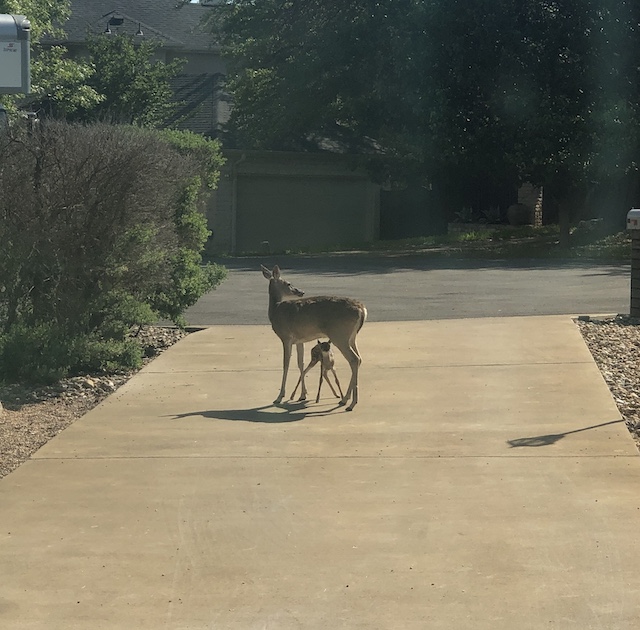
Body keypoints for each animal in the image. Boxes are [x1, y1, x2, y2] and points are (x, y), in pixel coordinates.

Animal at [261, 265, 367, 411]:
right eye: (288, 283)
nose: (301, 291)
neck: (275, 311)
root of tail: (362, 309)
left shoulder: (286, 337)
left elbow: (285, 364)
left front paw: (280, 396)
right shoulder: (299, 340)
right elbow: (300, 363)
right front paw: (302, 394)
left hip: (340, 335)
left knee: (354, 359)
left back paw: (351, 403)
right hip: (351, 337)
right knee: (359, 358)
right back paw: (344, 399)